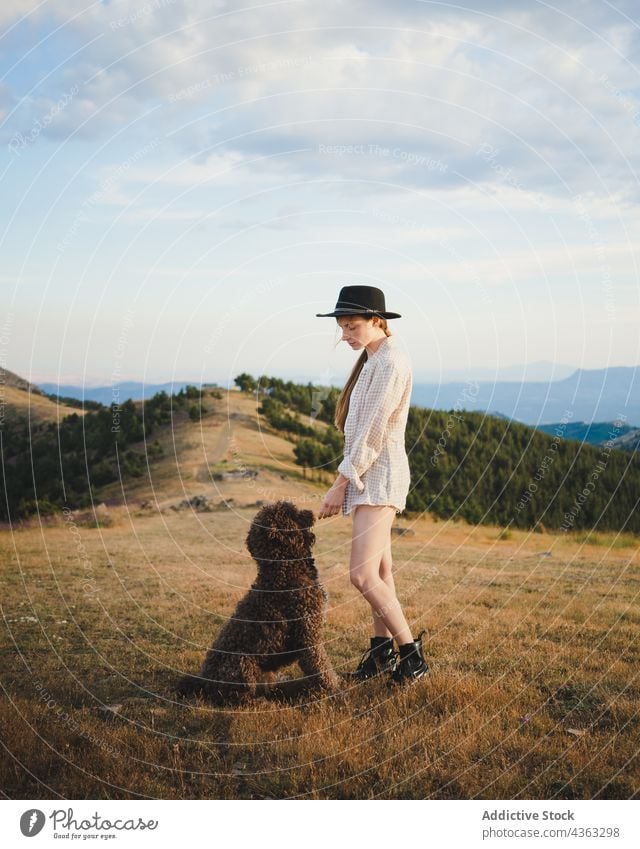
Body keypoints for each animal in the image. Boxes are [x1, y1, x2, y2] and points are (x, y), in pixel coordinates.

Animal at [172, 496, 338, 704]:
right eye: (290, 512)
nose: (310, 511)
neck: (282, 570)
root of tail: (204, 681)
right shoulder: (309, 636)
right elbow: (321, 667)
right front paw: (334, 690)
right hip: (241, 663)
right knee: (238, 697)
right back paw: (261, 703)